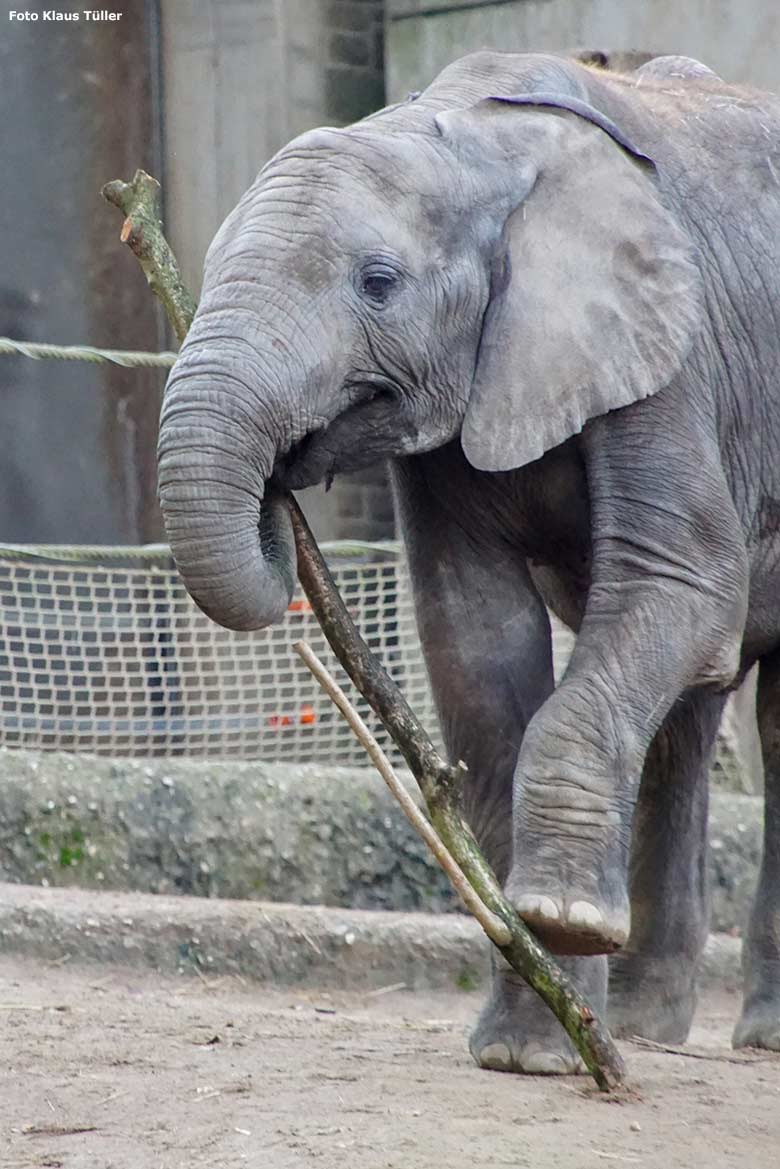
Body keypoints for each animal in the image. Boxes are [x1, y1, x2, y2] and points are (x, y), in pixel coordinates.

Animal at [156, 54, 780, 1075]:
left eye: (378, 282)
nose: (280, 496)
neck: (478, 141)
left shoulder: (673, 352)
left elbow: (680, 580)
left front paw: (560, 920)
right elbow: (473, 635)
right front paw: (529, 1048)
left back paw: (754, 1035)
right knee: (690, 717)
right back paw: (645, 1028)